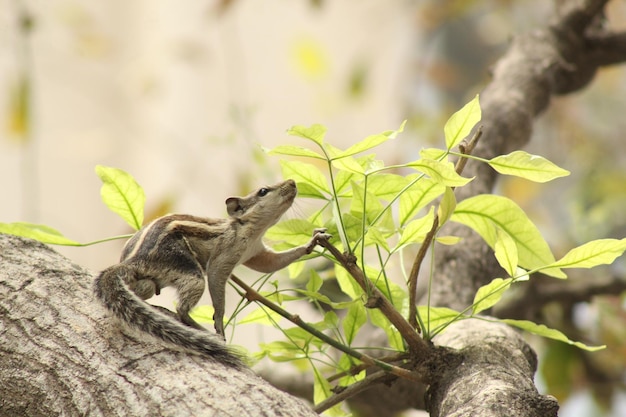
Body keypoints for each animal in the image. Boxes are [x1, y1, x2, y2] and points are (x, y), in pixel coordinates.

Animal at [95, 179, 330, 368]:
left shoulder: (256, 254)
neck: (252, 231)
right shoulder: (225, 255)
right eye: (263, 191)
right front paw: (219, 323)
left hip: (150, 284)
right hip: (190, 273)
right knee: (181, 309)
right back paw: (202, 330)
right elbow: (217, 285)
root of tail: (135, 260)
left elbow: (272, 264)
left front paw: (314, 240)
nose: (292, 182)